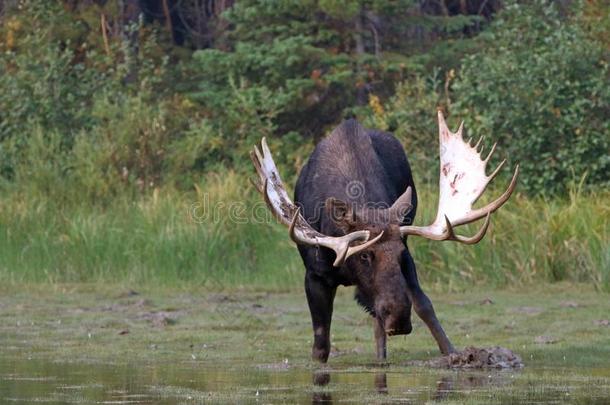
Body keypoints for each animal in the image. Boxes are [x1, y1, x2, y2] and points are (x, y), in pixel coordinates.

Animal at [249, 109, 516, 360]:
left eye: (399, 254)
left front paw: (454, 353)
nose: (399, 319)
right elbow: (321, 346)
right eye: (364, 255)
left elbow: (424, 306)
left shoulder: (406, 256)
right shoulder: (315, 275)